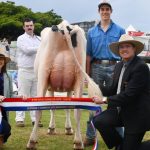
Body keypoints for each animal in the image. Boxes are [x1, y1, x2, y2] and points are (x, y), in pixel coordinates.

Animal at [26, 20, 102, 149]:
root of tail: (64, 25)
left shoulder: (50, 87)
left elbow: (52, 107)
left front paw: (52, 128)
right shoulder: (69, 88)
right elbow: (67, 107)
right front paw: (67, 128)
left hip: (43, 76)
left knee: (38, 109)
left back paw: (32, 141)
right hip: (79, 77)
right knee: (77, 110)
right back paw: (78, 142)